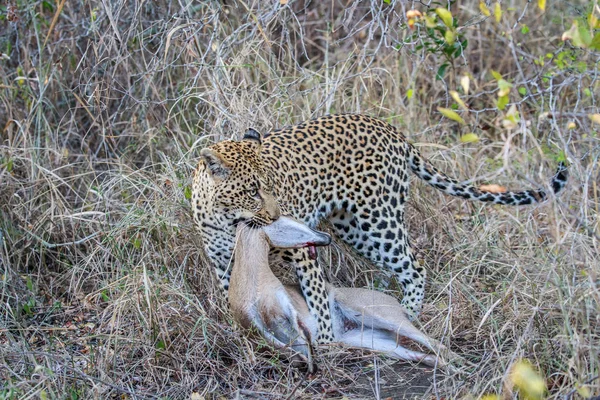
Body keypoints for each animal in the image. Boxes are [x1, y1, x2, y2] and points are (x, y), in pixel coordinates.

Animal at [192, 113, 568, 344]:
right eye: (252, 190)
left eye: (272, 186)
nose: (275, 215)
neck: (227, 218)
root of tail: (390, 130)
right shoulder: (222, 260)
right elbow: (234, 299)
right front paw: (246, 339)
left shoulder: (302, 251)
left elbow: (317, 297)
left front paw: (327, 342)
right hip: (352, 226)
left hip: (376, 220)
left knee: (415, 267)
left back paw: (408, 315)